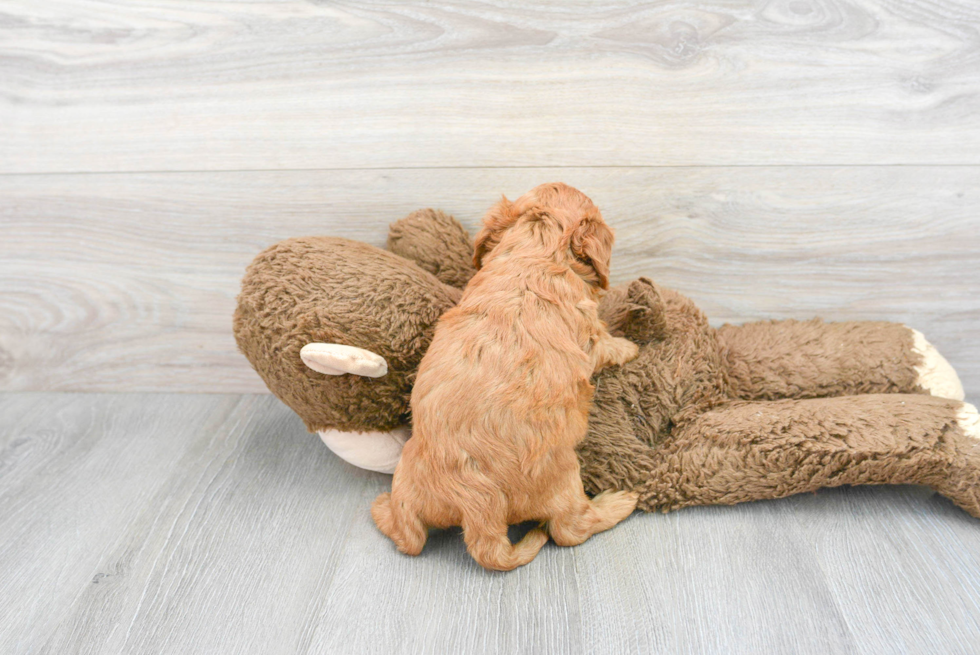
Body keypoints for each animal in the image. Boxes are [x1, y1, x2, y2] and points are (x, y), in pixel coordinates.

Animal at [372, 182, 640, 572]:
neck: (535, 250)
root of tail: (477, 508)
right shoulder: (589, 332)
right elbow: (607, 343)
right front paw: (630, 347)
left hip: (407, 479)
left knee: (408, 536)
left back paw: (381, 509)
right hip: (564, 481)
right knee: (570, 530)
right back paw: (618, 502)